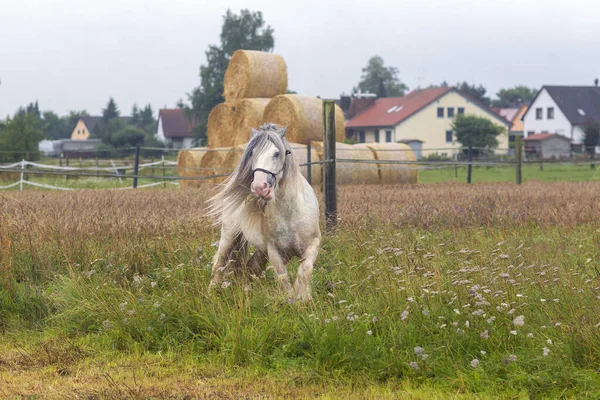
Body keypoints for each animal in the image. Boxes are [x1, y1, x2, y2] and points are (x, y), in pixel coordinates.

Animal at [206, 122, 322, 300]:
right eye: (252, 153)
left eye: (277, 153)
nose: (260, 187)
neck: (291, 213)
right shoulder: (274, 251)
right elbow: (283, 279)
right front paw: (291, 300)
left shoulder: (312, 244)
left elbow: (305, 271)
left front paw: (304, 298)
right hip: (229, 236)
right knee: (219, 264)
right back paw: (212, 294)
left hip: (260, 251)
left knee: (250, 268)